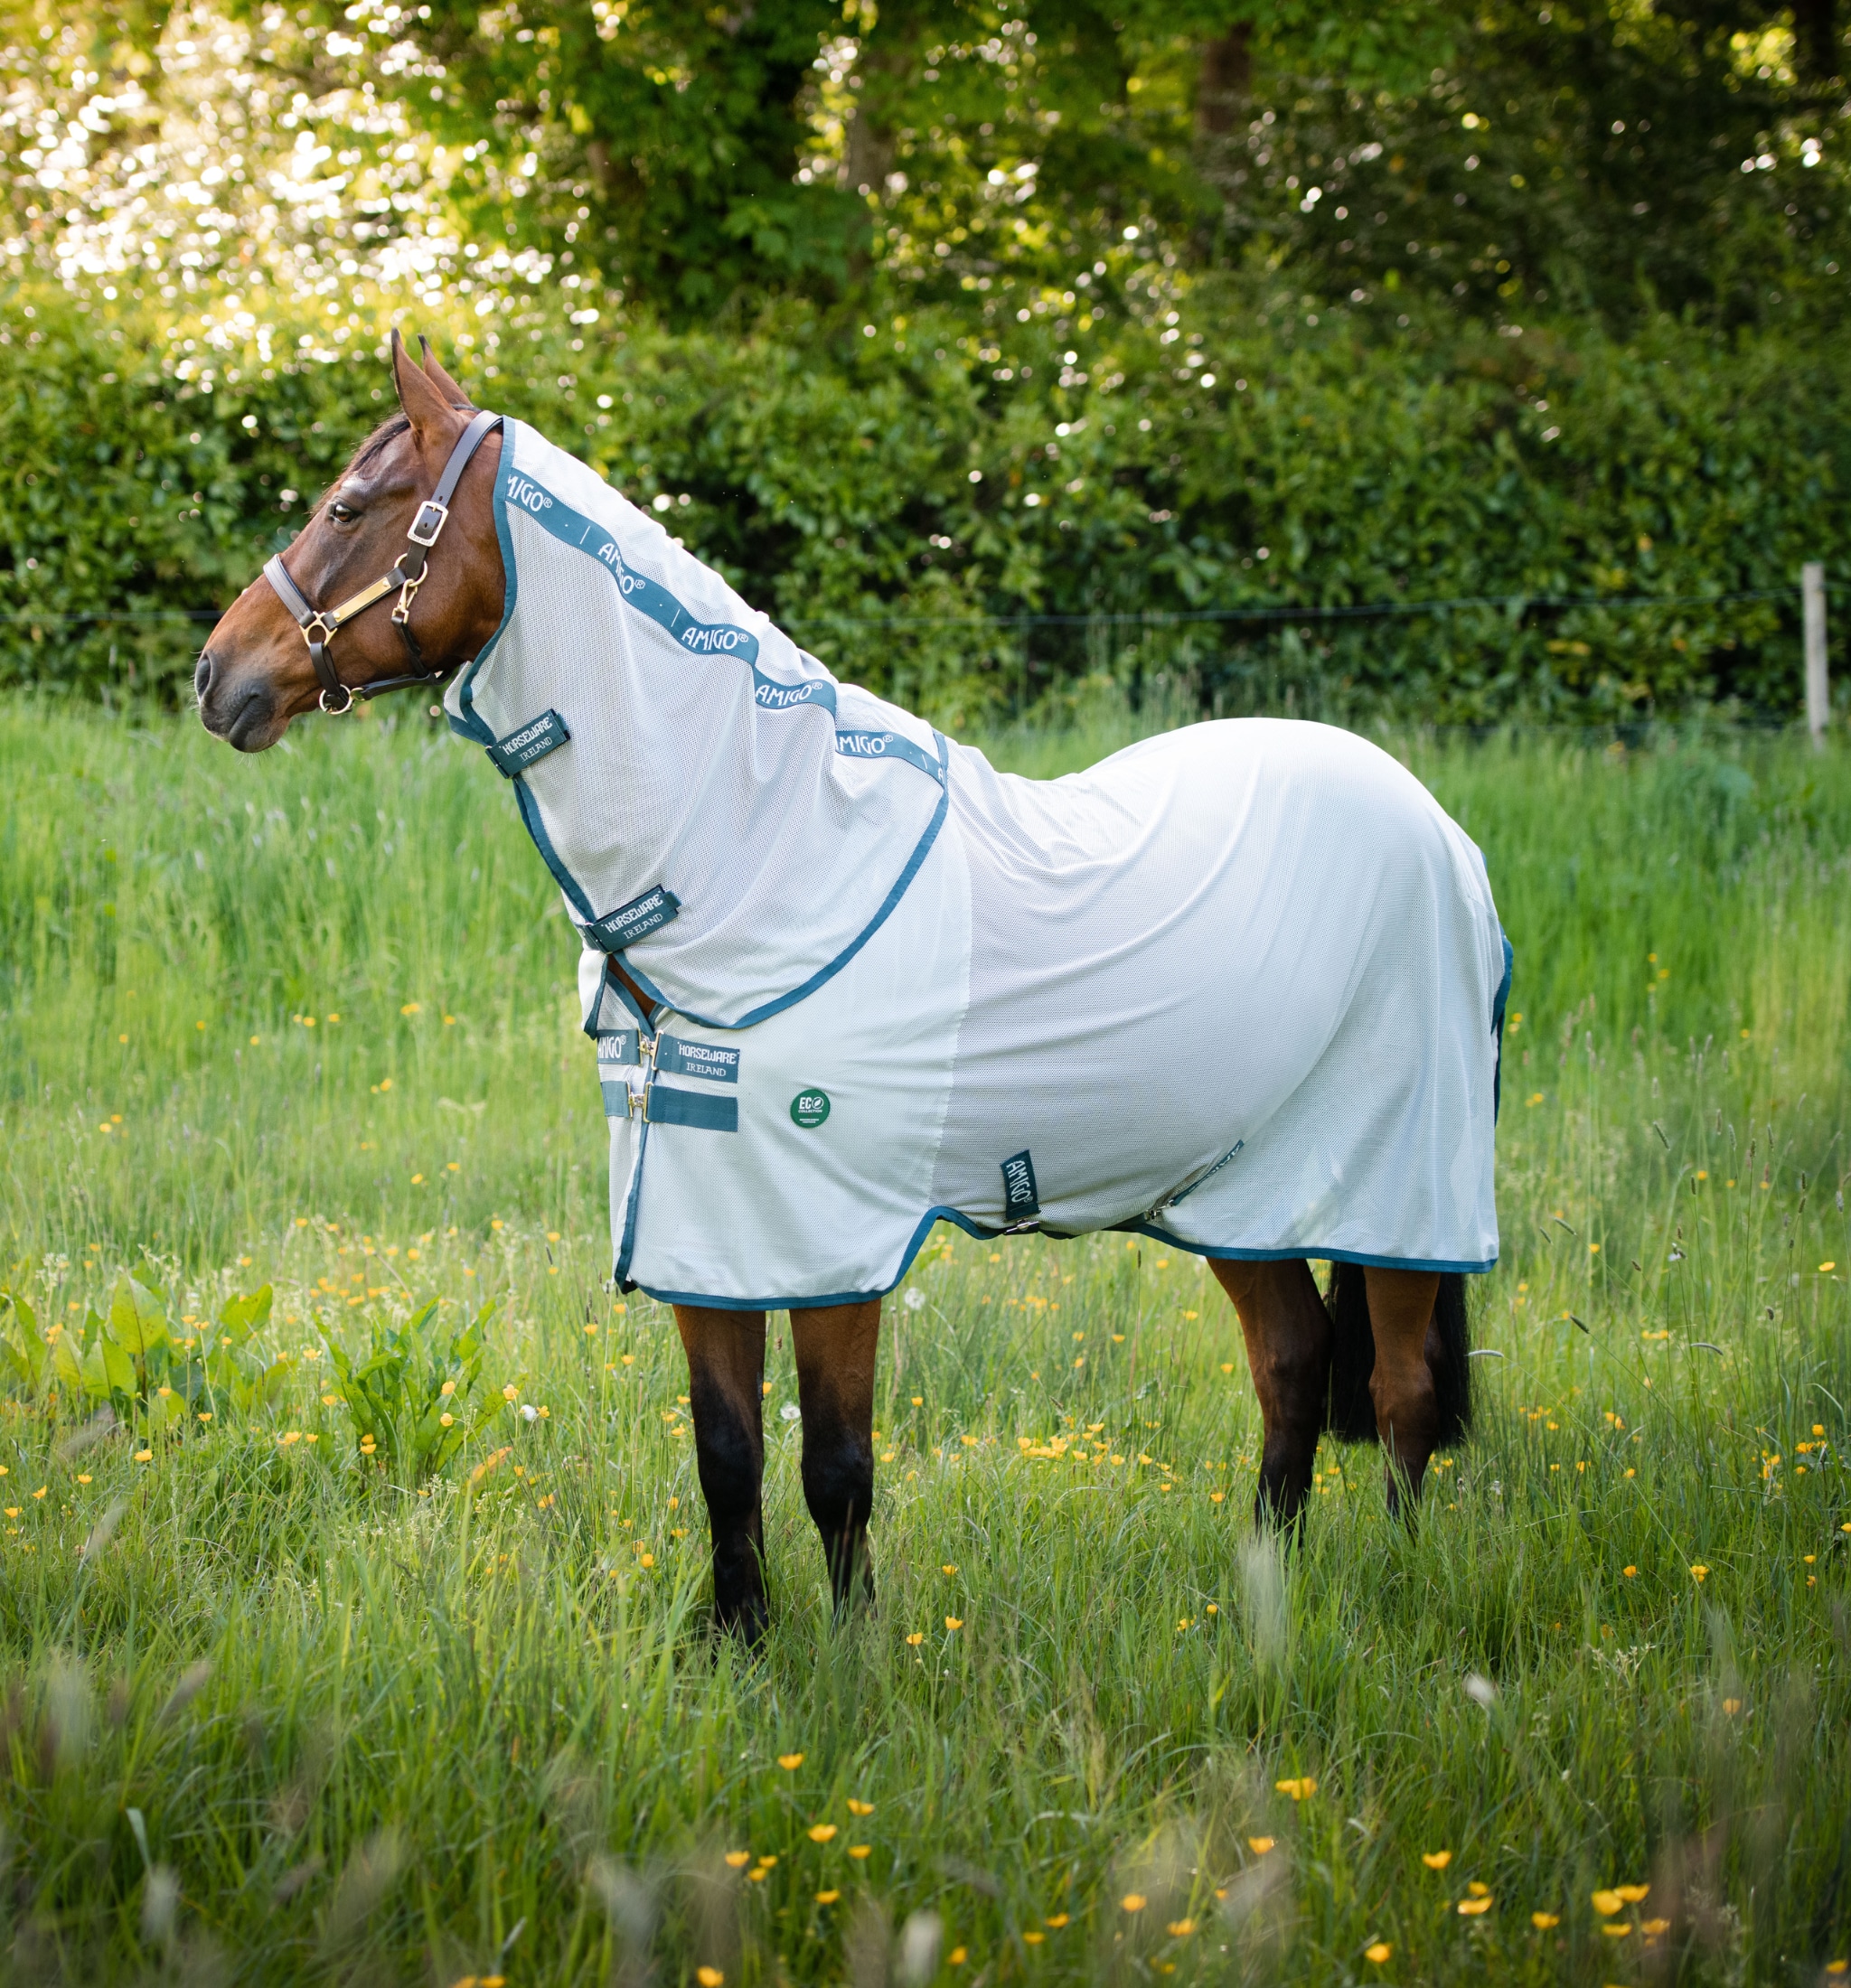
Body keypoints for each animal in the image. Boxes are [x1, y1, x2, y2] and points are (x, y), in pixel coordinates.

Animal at [198, 338, 1503, 1646]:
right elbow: (725, 1452)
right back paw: (1264, 1586)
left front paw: (854, 1651)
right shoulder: (706, 1228)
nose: (217, 674)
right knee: (1291, 1364)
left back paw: (1394, 1586)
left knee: (1396, 1389)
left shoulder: (831, 1241)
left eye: (347, 509)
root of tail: (1435, 825)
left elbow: (836, 1463)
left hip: (1398, 1190)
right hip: (1239, 1191)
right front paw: (740, 1638)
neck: (766, 854)